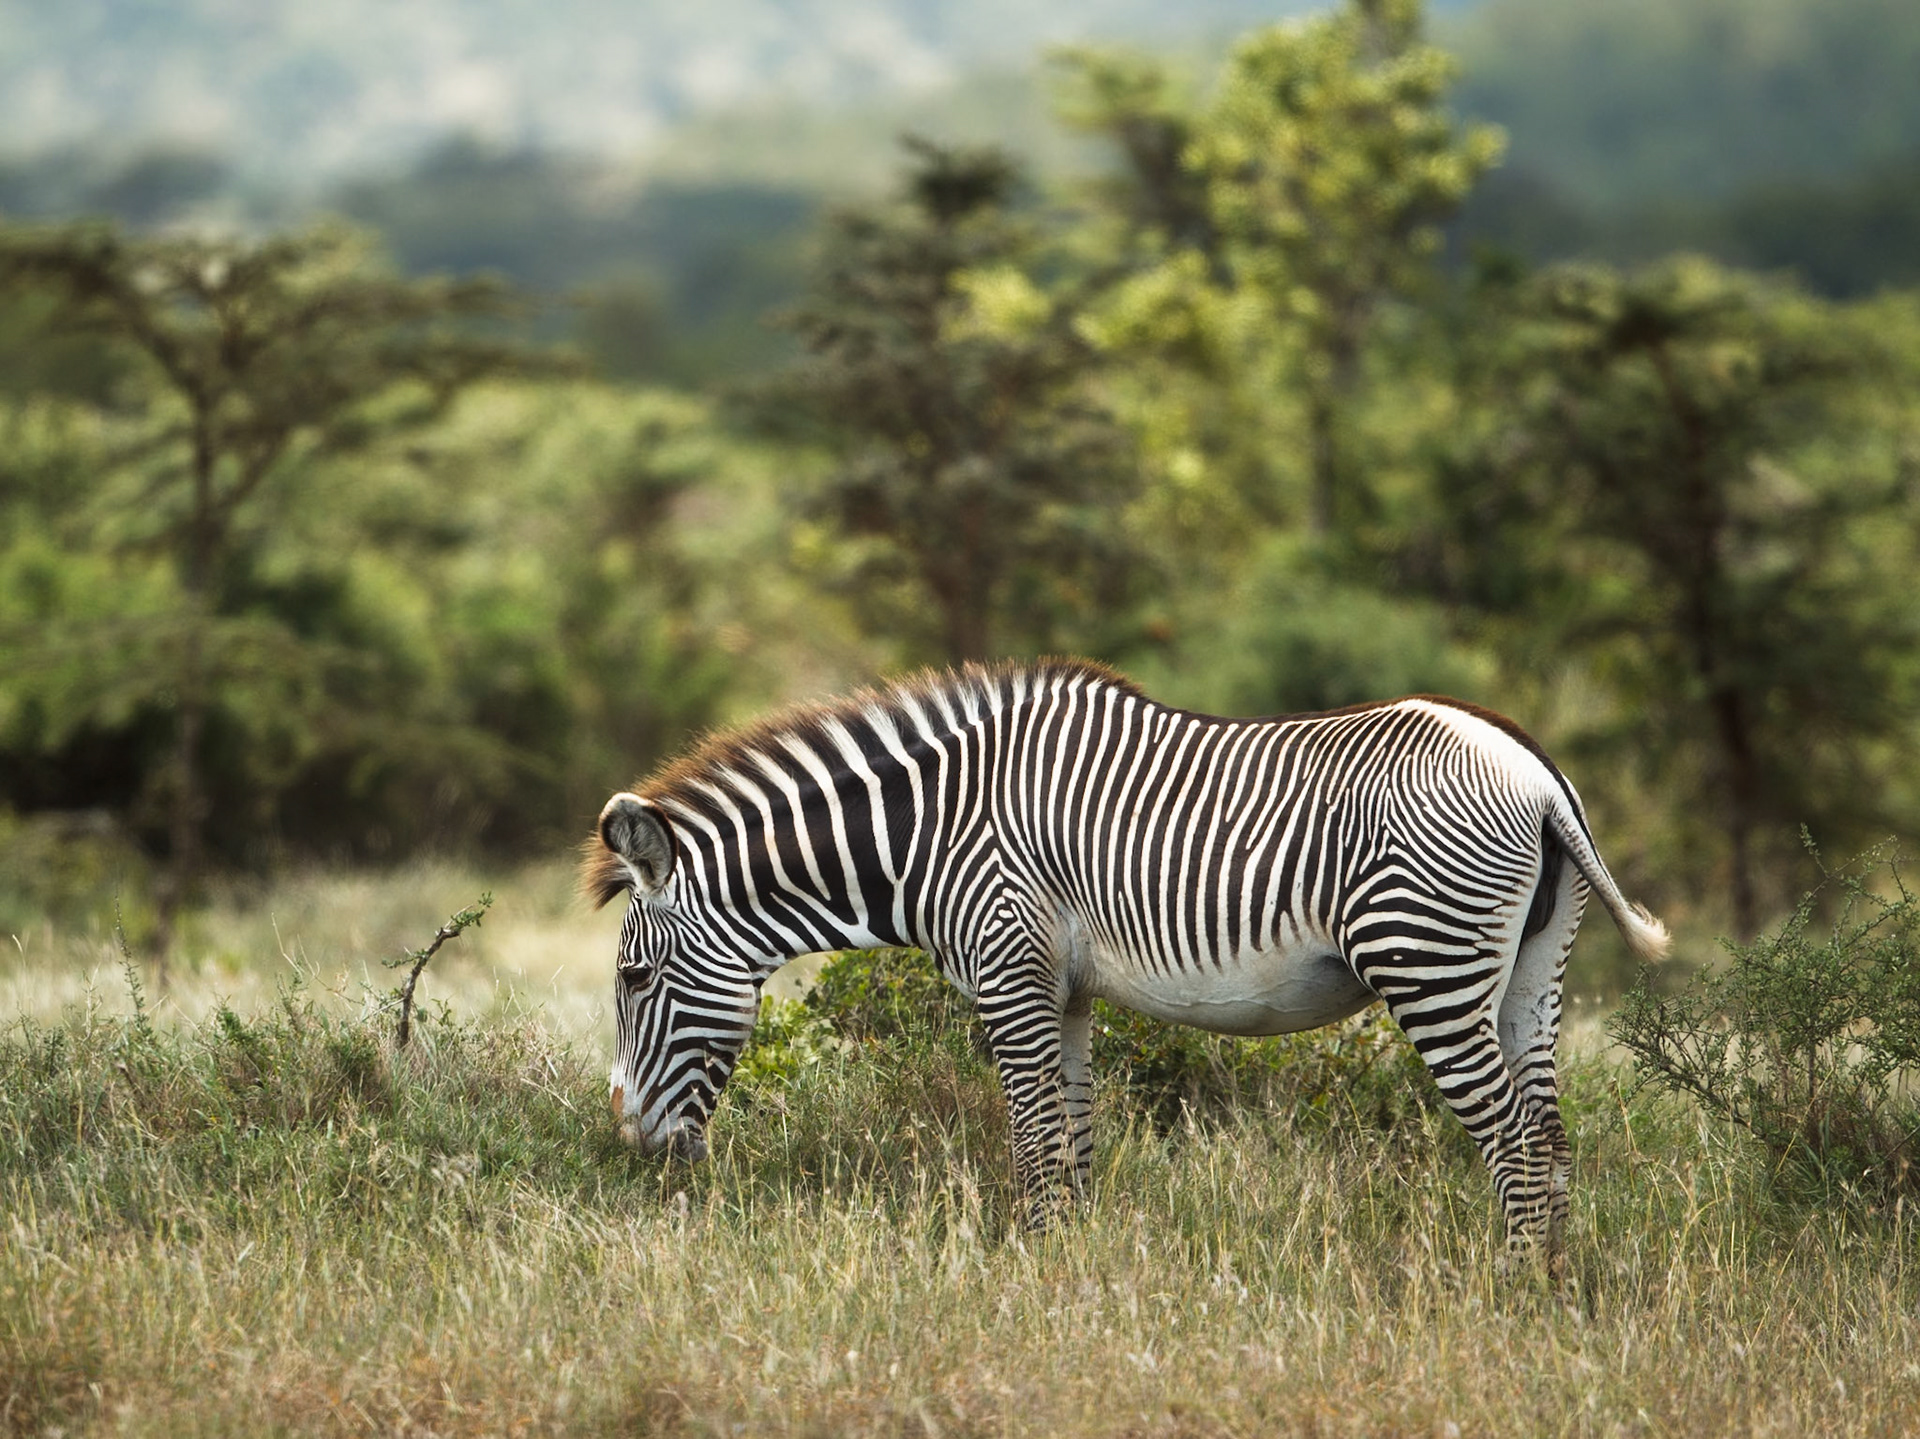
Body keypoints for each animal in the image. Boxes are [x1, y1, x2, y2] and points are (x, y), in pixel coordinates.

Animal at [583, 658, 1668, 1263]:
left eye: (634, 980)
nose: (635, 1145)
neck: (930, 830)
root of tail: (1535, 771)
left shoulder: (1009, 968)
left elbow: (1031, 1140)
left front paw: (1029, 1273)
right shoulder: (1063, 990)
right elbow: (1074, 1140)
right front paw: (1075, 1268)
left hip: (1428, 961)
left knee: (1514, 1139)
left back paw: (1510, 1287)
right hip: (1532, 973)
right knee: (1550, 1133)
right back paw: (1559, 1288)